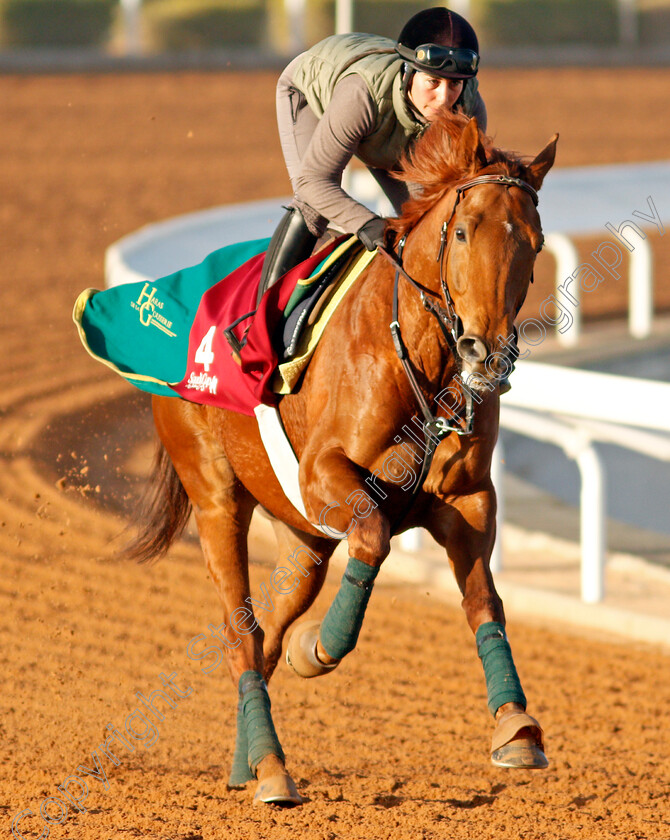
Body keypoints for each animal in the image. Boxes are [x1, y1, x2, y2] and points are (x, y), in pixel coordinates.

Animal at [129, 113, 560, 808]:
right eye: (462, 231)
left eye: (536, 242)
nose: (486, 351)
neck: (422, 361)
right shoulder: (323, 475)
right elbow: (375, 535)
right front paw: (322, 648)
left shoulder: (468, 498)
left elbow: (483, 599)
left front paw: (516, 726)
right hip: (217, 497)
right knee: (241, 633)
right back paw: (272, 769)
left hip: (302, 538)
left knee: (268, 633)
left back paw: (246, 761)